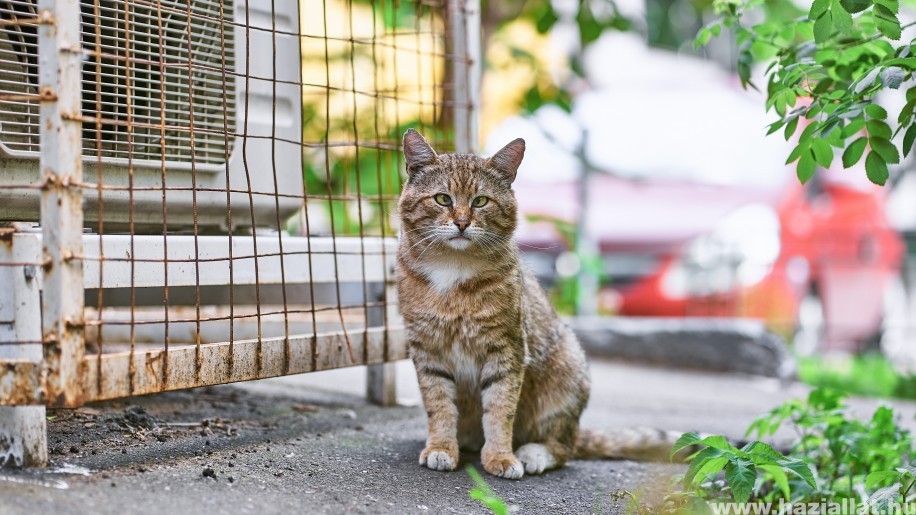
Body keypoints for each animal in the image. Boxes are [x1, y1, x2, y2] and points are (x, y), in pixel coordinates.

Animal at [394, 129, 680, 480]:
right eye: (443, 199)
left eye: (480, 201)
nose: (461, 222)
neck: (453, 269)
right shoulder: (428, 350)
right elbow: (439, 407)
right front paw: (442, 447)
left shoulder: (507, 350)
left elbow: (500, 410)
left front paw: (500, 456)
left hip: (567, 374)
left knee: (563, 447)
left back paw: (533, 452)